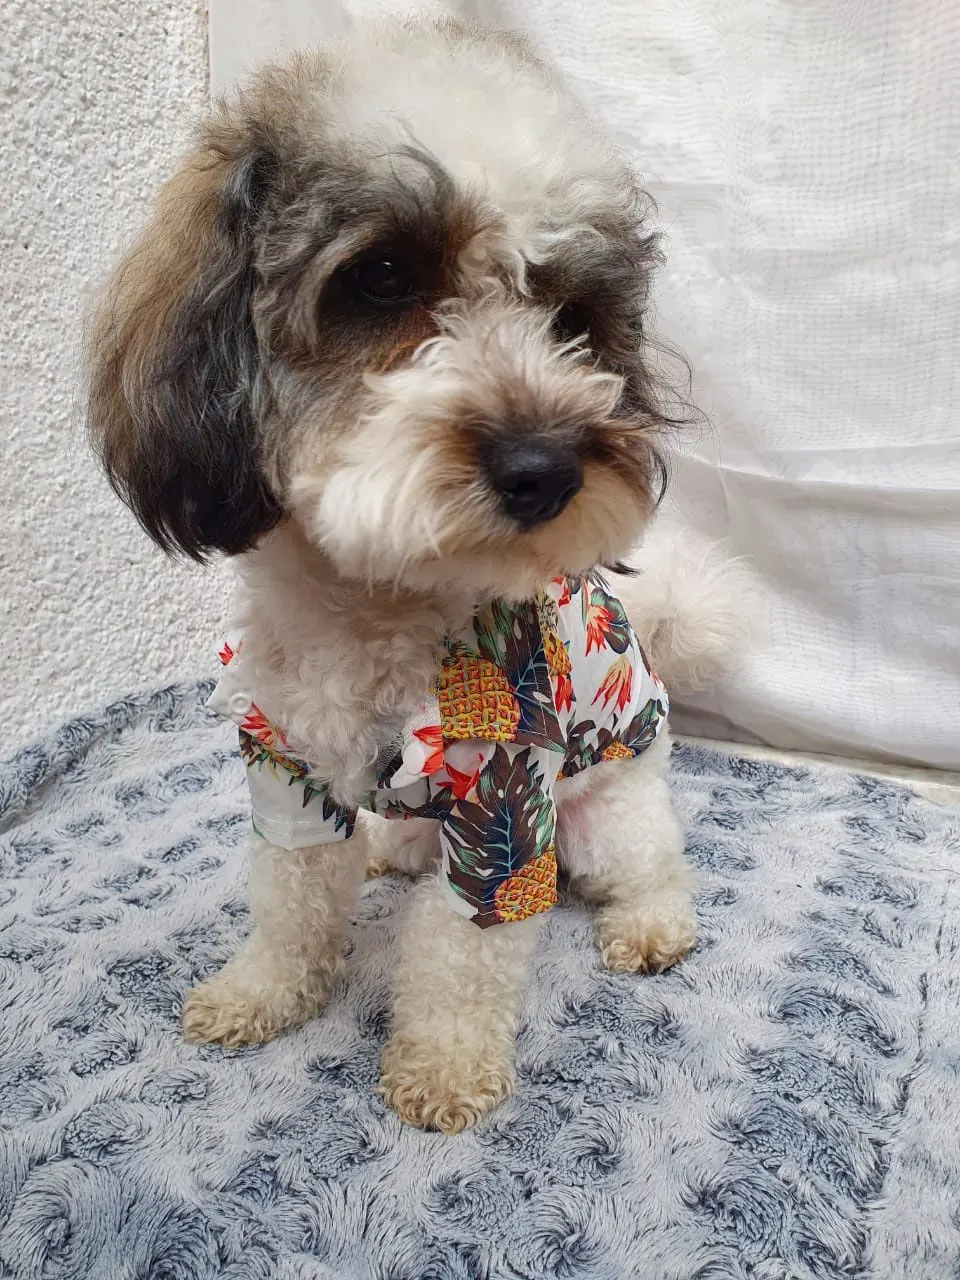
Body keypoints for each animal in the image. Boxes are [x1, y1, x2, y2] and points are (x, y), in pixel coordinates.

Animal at [87, 14, 745, 1133]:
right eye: (384, 274)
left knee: (652, 867)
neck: (373, 603)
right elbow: (291, 903)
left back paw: (652, 928)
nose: (546, 467)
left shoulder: (504, 802)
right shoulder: (285, 767)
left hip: (612, 816)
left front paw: (441, 1068)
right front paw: (259, 995)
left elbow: (460, 959)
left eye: (571, 318)